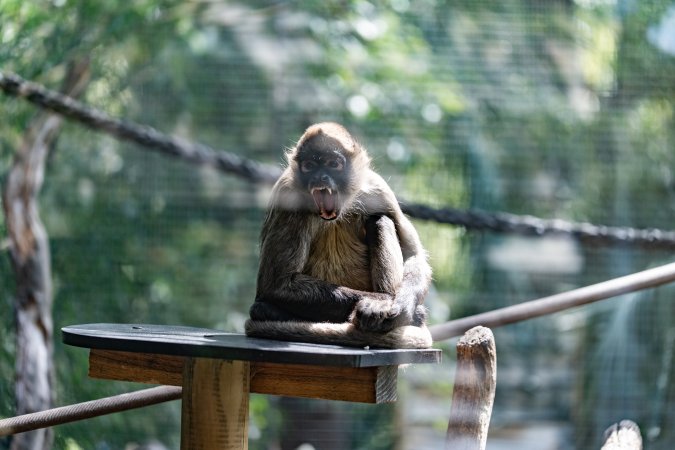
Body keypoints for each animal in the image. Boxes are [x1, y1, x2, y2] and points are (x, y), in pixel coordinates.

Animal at [245, 122, 432, 349]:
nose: (320, 177)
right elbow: (275, 285)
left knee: (380, 220)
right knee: (260, 308)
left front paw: (398, 307)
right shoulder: (287, 192)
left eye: (333, 164)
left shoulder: (378, 189)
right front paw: (382, 302)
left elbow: (415, 254)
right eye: (309, 166)